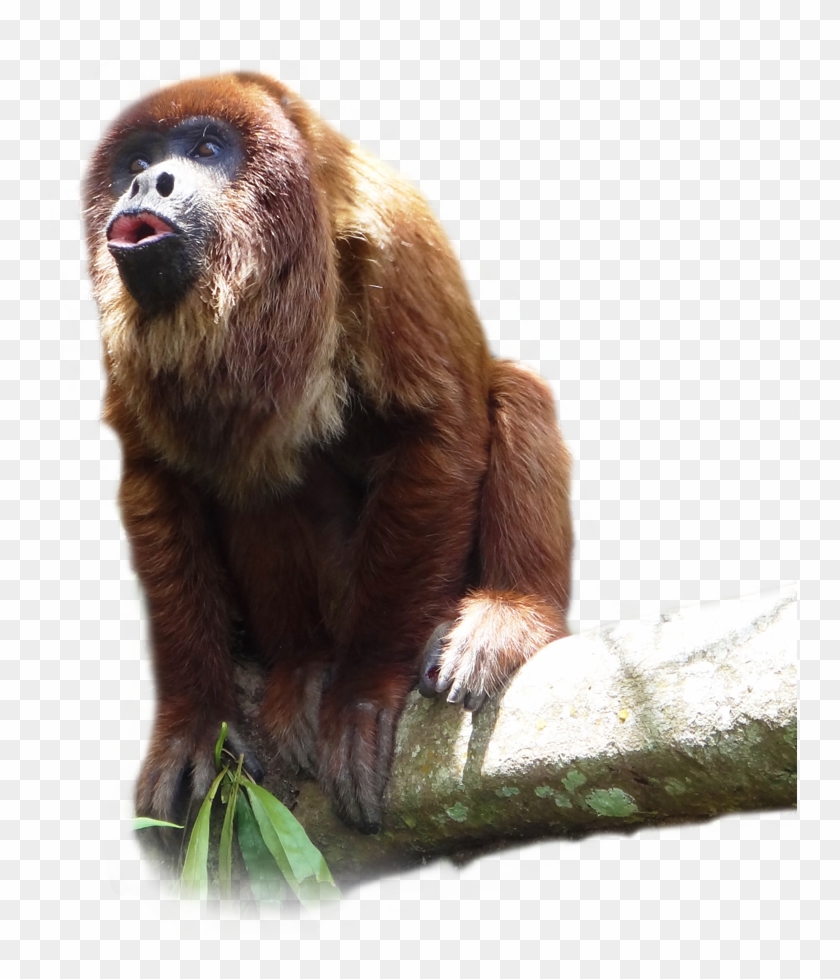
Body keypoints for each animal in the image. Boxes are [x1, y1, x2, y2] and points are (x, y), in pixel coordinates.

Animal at [83, 73, 574, 835]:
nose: (148, 183)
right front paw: (194, 721)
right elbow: (155, 474)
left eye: (205, 149)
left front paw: (364, 694)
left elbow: (433, 424)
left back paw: (512, 615)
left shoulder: (390, 236)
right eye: (135, 161)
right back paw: (304, 666)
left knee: (517, 390)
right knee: (257, 479)